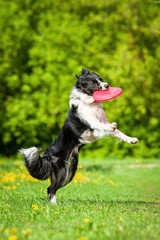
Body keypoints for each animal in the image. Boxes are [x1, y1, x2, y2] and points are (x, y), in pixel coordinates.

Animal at [20, 68, 138, 204]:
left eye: (101, 79)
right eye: (93, 83)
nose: (107, 85)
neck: (90, 103)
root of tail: (46, 155)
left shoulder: (103, 120)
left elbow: (119, 132)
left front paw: (131, 139)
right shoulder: (92, 124)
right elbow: (103, 126)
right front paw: (111, 127)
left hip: (71, 171)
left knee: (52, 187)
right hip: (62, 171)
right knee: (51, 188)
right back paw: (54, 205)